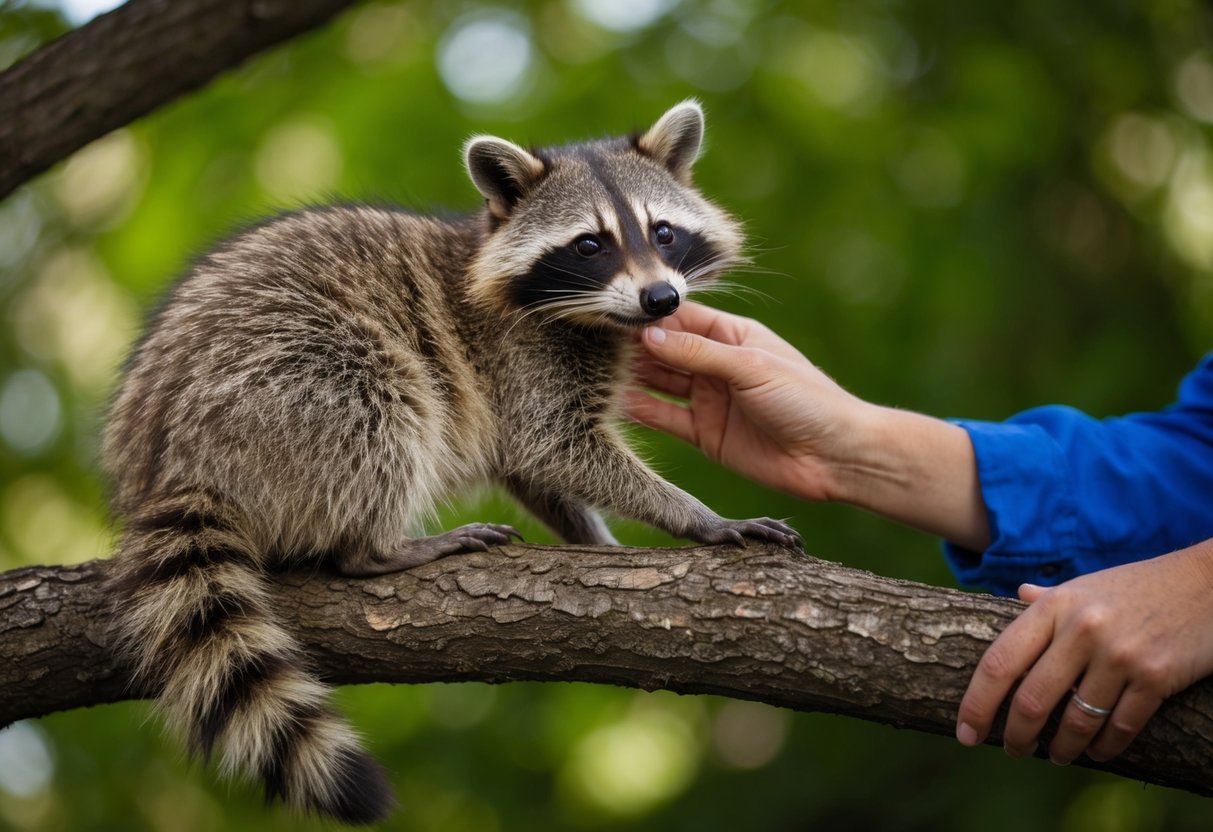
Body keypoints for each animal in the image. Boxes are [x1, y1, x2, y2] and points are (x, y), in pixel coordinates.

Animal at [103, 100, 801, 824]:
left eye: (662, 232)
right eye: (590, 245)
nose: (661, 300)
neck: (587, 313)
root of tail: (166, 468)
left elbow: (534, 468)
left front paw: (593, 538)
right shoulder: (520, 358)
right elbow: (553, 446)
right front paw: (694, 516)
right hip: (288, 389)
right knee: (384, 409)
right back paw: (378, 547)